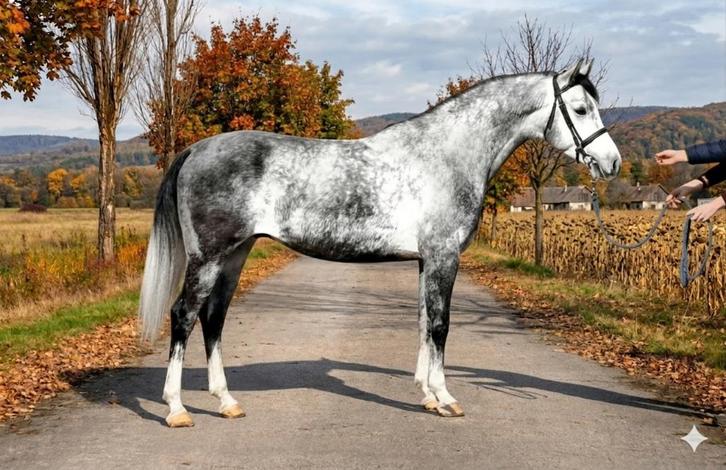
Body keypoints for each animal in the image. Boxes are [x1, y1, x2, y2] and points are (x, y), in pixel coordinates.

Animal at [139, 58, 621, 427]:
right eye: (580, 109)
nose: (611, 162)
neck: (446, 155)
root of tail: (196, 150)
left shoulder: (428, 260)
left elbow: (424, 322)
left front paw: (427, 395)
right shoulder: (444, 257)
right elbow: (441, 326)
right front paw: (446, 399)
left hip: (236, 254)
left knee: (213, 319)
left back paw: (227, 402)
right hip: (208, 257)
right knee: (183, 316)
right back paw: (177, 409)